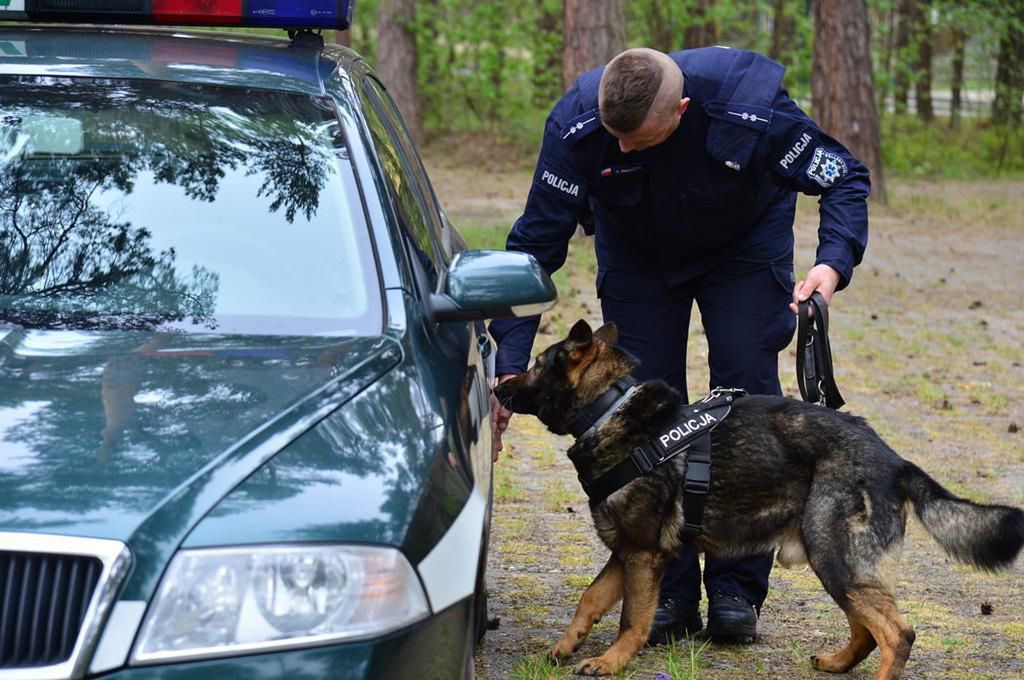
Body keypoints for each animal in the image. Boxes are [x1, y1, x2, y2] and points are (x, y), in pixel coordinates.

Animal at [491, 321, 1019, 675]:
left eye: (536, 365)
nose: (501, 386)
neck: (609, 410)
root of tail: (896, 460)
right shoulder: (625, 554)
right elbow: (588, 600)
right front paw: (565, 647)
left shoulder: (641, 555)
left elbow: (629, 620)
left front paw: (610, 661)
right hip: (836, 563)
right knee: (866, 628)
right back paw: (837, 662)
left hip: (835, 558)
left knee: (897, 633)